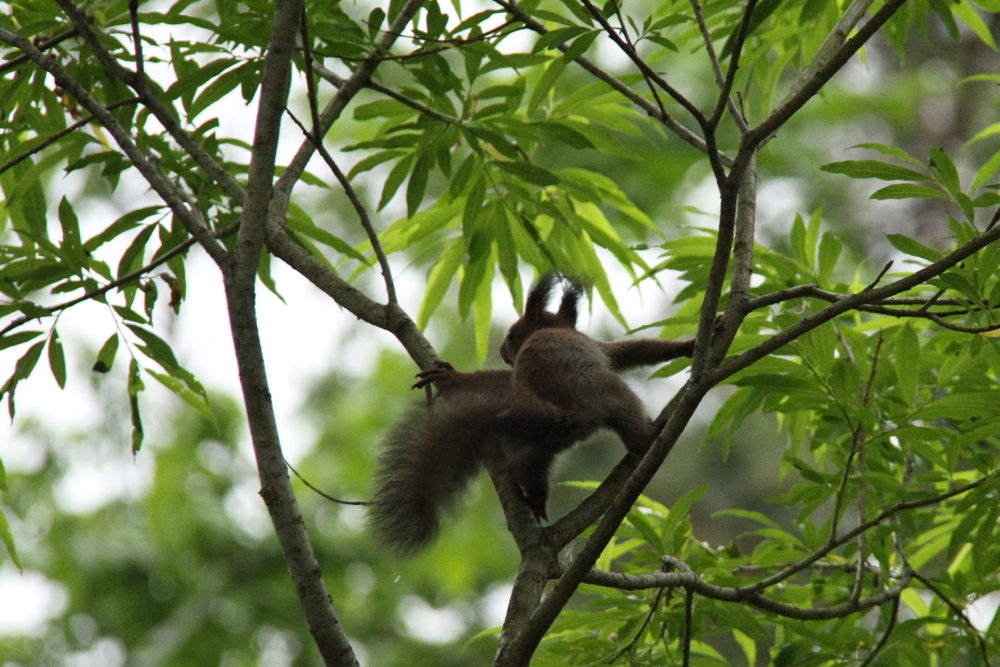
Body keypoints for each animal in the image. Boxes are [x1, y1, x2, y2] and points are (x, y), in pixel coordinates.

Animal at [368, 274, 696, 556]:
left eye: (512, 334)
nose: (503, 350)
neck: (557, 329)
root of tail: (574, 415)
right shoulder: (599, 347)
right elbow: (638, 349)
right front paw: (687, 347)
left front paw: (452, 377)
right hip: (587, 414)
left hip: (557, 425)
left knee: (534, 461)